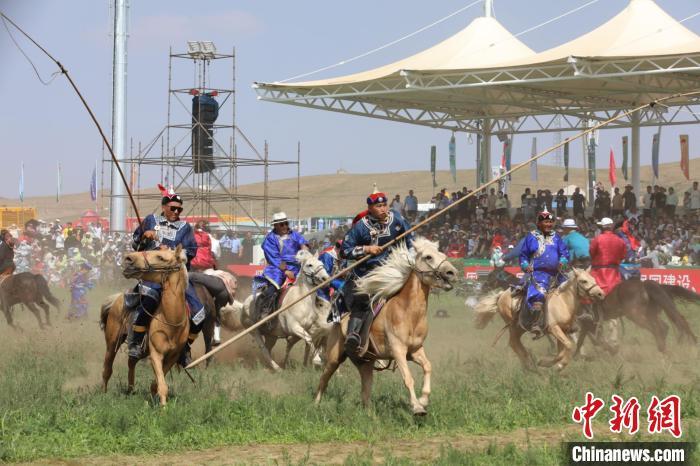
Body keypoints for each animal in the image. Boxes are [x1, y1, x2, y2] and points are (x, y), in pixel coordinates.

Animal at [316, 238, 460, 416]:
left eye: (442, 254)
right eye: (428, 257)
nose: (452, 272)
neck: (408, 312)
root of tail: (338, 319)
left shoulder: (415, 350)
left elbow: (428, 367)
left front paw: (423, 400)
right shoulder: (398, 350)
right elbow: (408, 378)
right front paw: (417, 407)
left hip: (365, 362)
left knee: (365, 390)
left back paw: (370, 415)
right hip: (334, 357)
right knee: (324, 379)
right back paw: (315, 405)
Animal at [476, 270, 608, 372]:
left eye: (592, 278)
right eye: (583, 281)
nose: (600, 293)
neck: (563, 302)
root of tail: (502, 294)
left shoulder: (564, 330)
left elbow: (563, 350)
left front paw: (551, 364)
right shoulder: (554, 328)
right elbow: (568, 346)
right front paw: (555, 365)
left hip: (519, 328)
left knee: (515, 343)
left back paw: (530, 363)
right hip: (514, 326)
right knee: (513, 343)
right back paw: (529, 365)